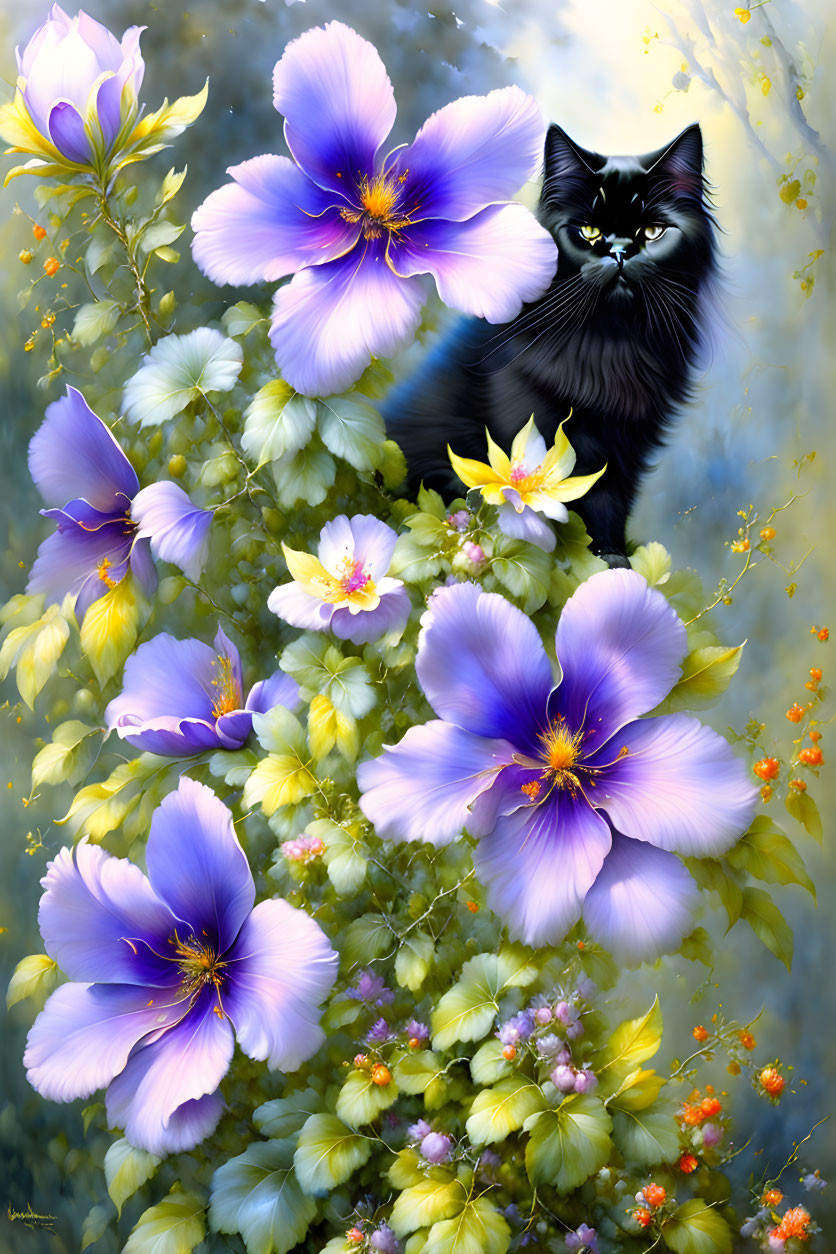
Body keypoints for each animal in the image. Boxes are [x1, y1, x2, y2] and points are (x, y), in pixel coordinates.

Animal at [386, 122, 721, 564]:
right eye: (589, 232)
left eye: (652, 232)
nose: (619, 252)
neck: (611, 346)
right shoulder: (529, 426)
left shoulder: (627, 447)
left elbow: (608, 504)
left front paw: (611, 558)